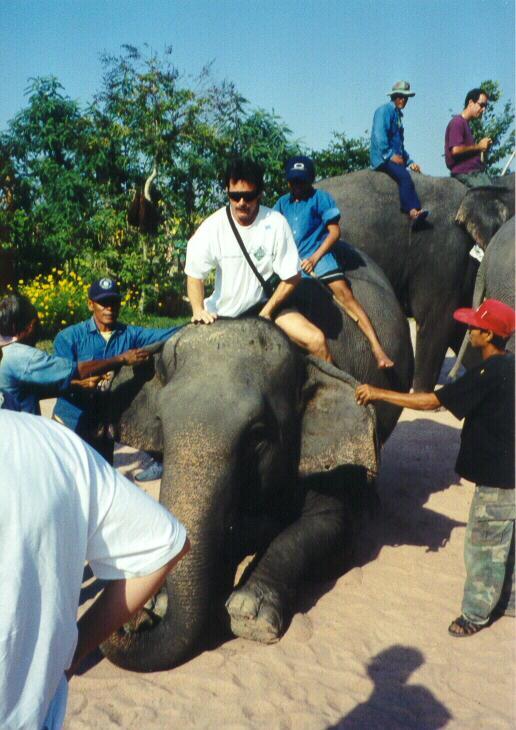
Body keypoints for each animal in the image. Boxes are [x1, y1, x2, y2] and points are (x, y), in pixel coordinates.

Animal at [98, 252, 412, 672]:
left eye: (258, 436)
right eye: (162, 423)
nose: (134, 621)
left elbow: (328, 525)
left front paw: (248, 612)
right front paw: (159, 603)